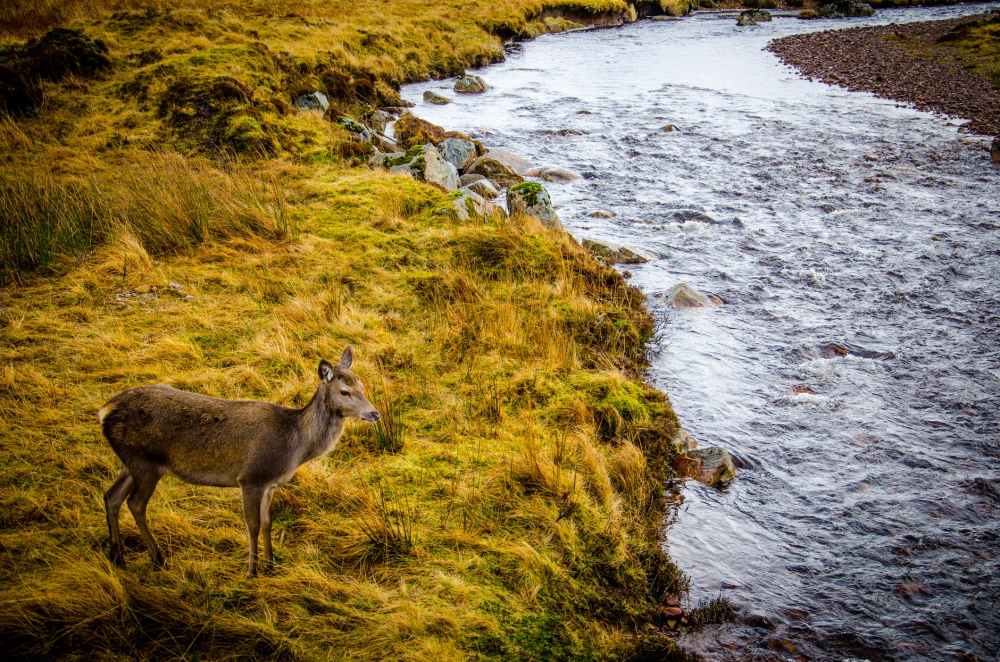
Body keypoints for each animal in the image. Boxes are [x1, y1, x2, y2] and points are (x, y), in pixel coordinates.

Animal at [98, 347, 379, 576]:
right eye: (345, 391)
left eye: (363, 386)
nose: (374, 413)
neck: (293, 446)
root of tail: (104, 411)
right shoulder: (251, 477)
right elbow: (252, 525)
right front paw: (252, 571)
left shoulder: (270, 484)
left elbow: (267, 523)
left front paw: (271, 565)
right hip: (144, 462)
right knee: (135, 503)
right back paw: (157, 558)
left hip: (131, 462)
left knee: (112, 496)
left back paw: (118, 557)